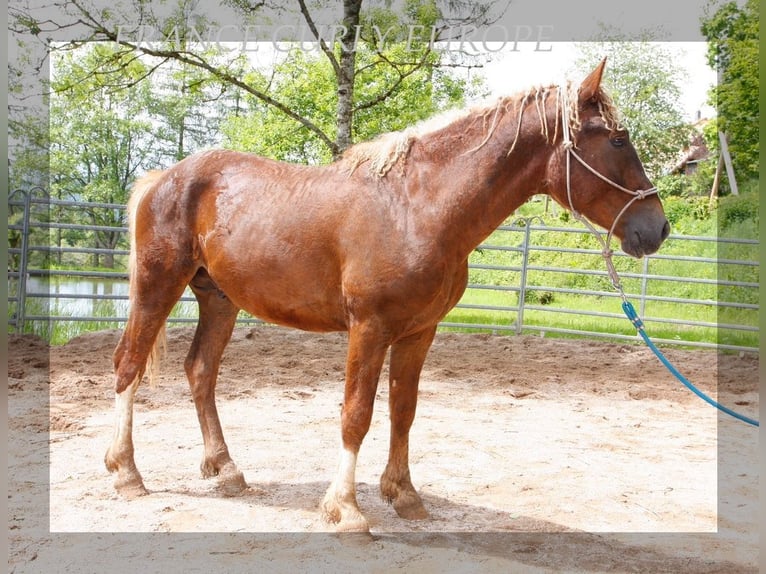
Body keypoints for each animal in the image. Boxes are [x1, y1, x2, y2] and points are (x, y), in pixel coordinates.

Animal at [105, 60, 668, 532]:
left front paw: (404, 494)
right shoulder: (369, 329)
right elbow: (357, 414)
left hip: (219, 299)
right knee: (128, 364)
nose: (657, 228)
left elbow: (403, 410)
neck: (417, 208)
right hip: (158, 285)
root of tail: (164, 177)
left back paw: (225, 470)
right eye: (618, 140)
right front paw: (346, 509)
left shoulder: (419, 331)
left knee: (200, 370)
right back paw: (126, 473)